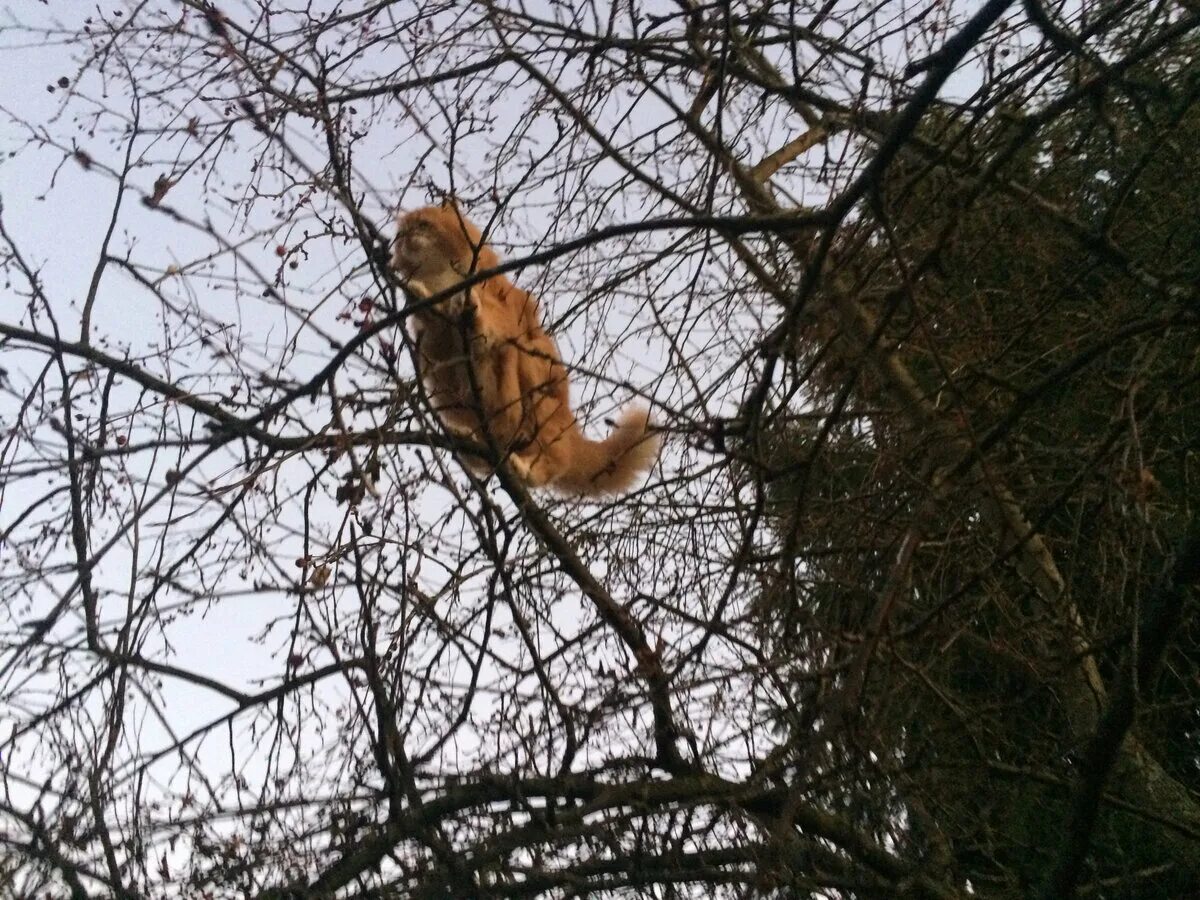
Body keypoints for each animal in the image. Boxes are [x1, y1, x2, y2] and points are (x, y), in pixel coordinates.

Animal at [391, 201, 657, 496]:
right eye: (400, 233)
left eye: (423, 224)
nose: (406, 237)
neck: (442, 278)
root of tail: (570, 423)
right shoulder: (434, 342)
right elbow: (432, 317)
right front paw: (418, 294)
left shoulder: (500, 305)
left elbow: (487, 316)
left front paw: (470, 314)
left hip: (533, 384)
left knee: (547, 459)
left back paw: (523, 465)